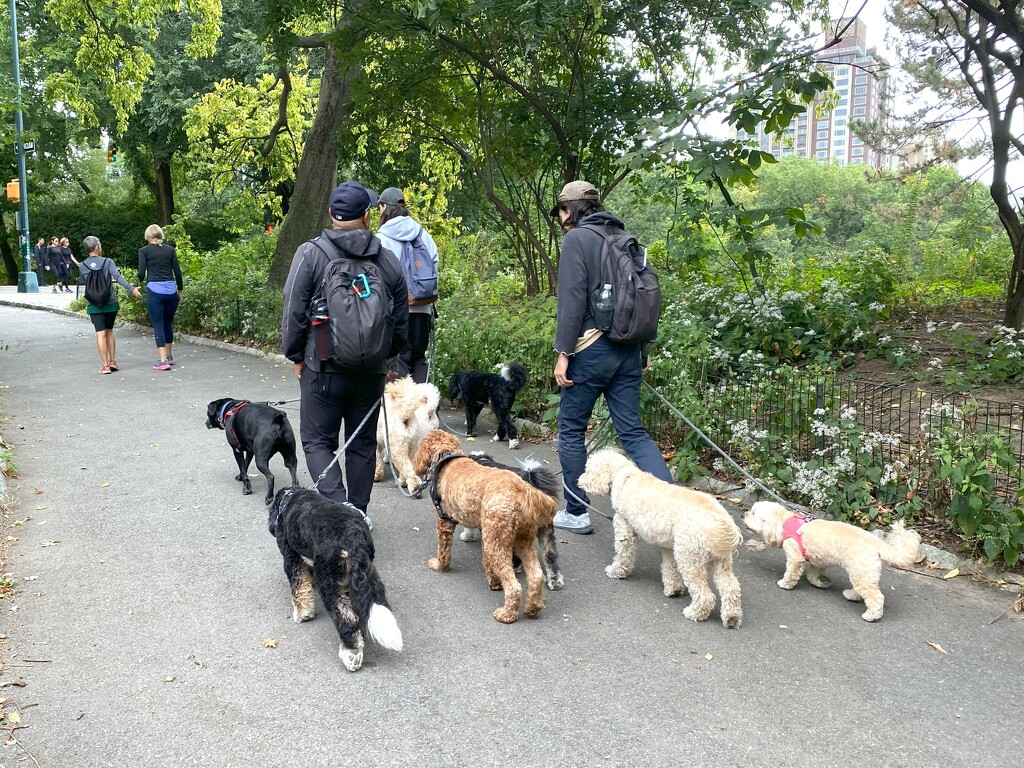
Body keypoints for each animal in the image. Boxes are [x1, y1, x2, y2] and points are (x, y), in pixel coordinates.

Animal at [268, 489, 403, 671]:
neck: (287, 500)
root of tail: (353, 540)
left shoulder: (291, 557)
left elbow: (300, 587)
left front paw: (303, 613)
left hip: (329, 583)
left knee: (346, 619)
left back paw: (351, 653)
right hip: (358, 576)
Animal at [577, 448, 745, 626]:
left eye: (588, 469)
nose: (579, 481)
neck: (625, 474)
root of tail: (720, 518)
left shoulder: (625, 528)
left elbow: (623, 554)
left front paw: (616, 571)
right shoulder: (668, 547)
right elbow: (670, 568)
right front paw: (673, 589)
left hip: (690, 559)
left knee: (705, 595)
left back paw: (695, 613)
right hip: (721, 561)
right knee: (731, 587)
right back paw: (731, 618)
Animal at [741, 501, 925, 622]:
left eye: (754, 513)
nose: (743, 514)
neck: (784, 521)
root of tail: (877, 543)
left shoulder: (795, 556)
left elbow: (792, 573)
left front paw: (785, 584)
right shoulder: (818, 561)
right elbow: (813, 574)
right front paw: (819, 583)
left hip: (861, 573)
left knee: (876, 597)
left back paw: (871, 616)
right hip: (862, 574)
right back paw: (851, 595)